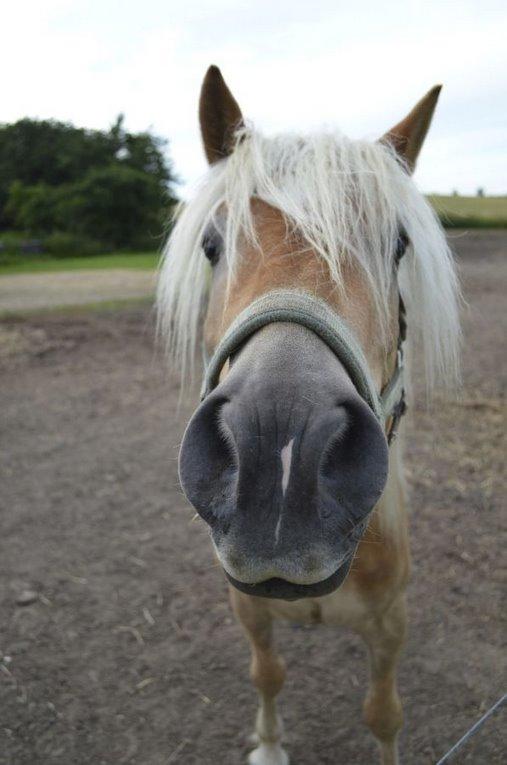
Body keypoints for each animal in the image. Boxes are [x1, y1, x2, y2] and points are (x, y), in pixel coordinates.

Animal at [157, 65, 462, 764]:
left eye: (398, 243)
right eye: (212, 244)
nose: (280, 453)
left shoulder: (391, 624)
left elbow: (384, 713)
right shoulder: (248, 607)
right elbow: (266, 673)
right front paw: (269, 748)